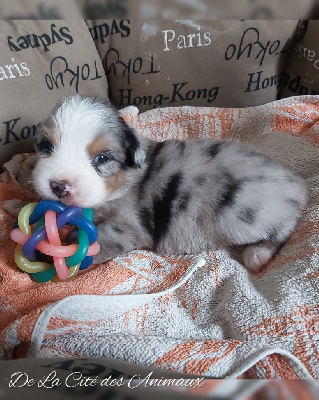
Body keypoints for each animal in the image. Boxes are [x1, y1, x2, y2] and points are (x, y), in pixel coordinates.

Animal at [3, 95, 308, 274]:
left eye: (102, 158)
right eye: (46, 146)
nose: (59, 186)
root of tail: (298, 184)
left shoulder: (127, 229)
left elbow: (91, 240)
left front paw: (57, 255)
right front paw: (15, 204)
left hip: (244, 213)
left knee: (283, 230)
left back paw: (258, 254)